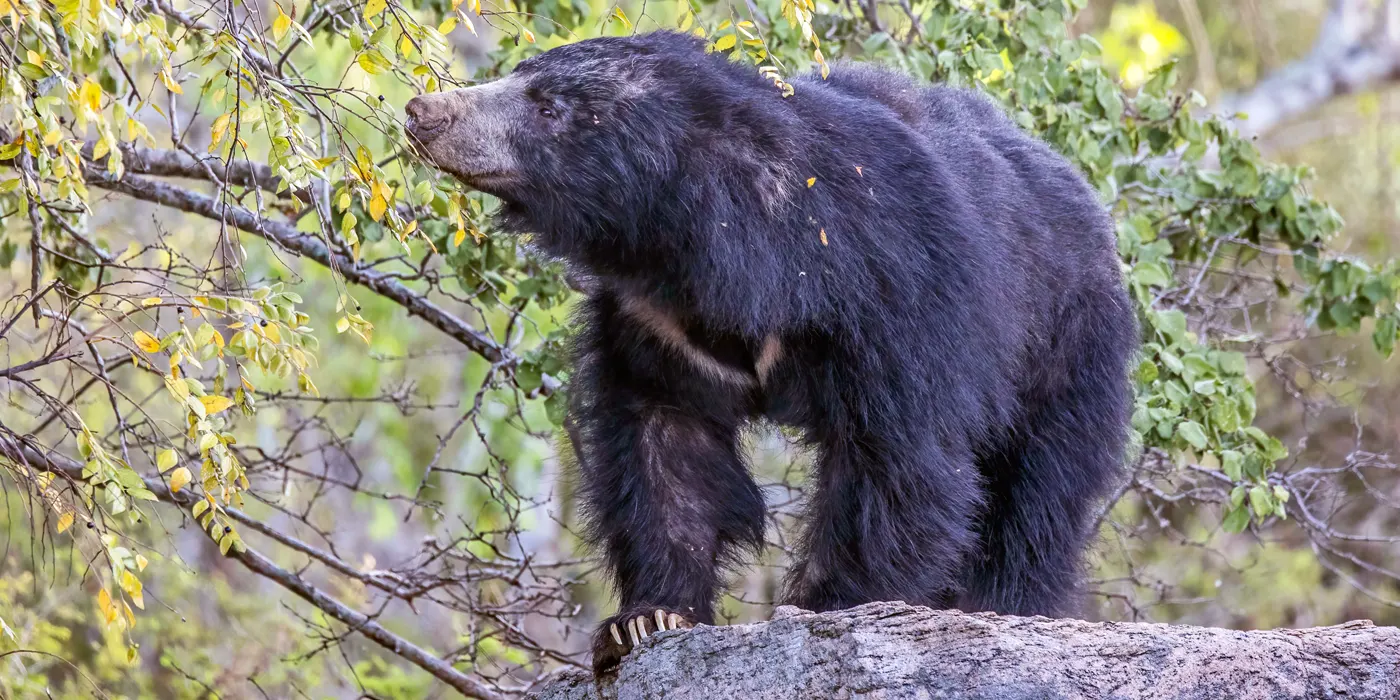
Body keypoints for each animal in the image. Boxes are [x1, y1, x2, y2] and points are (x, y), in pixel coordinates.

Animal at [406, 28, 1136, 672]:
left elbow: (897, 457)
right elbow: (665, 444)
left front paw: (829, 605)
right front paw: (645, 619)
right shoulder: (656, 322)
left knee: (1037, 498)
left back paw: (1007, 604)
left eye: (548, 108)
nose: (424, 111)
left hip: (1066, 347)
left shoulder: (892, 291)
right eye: (519, 76)